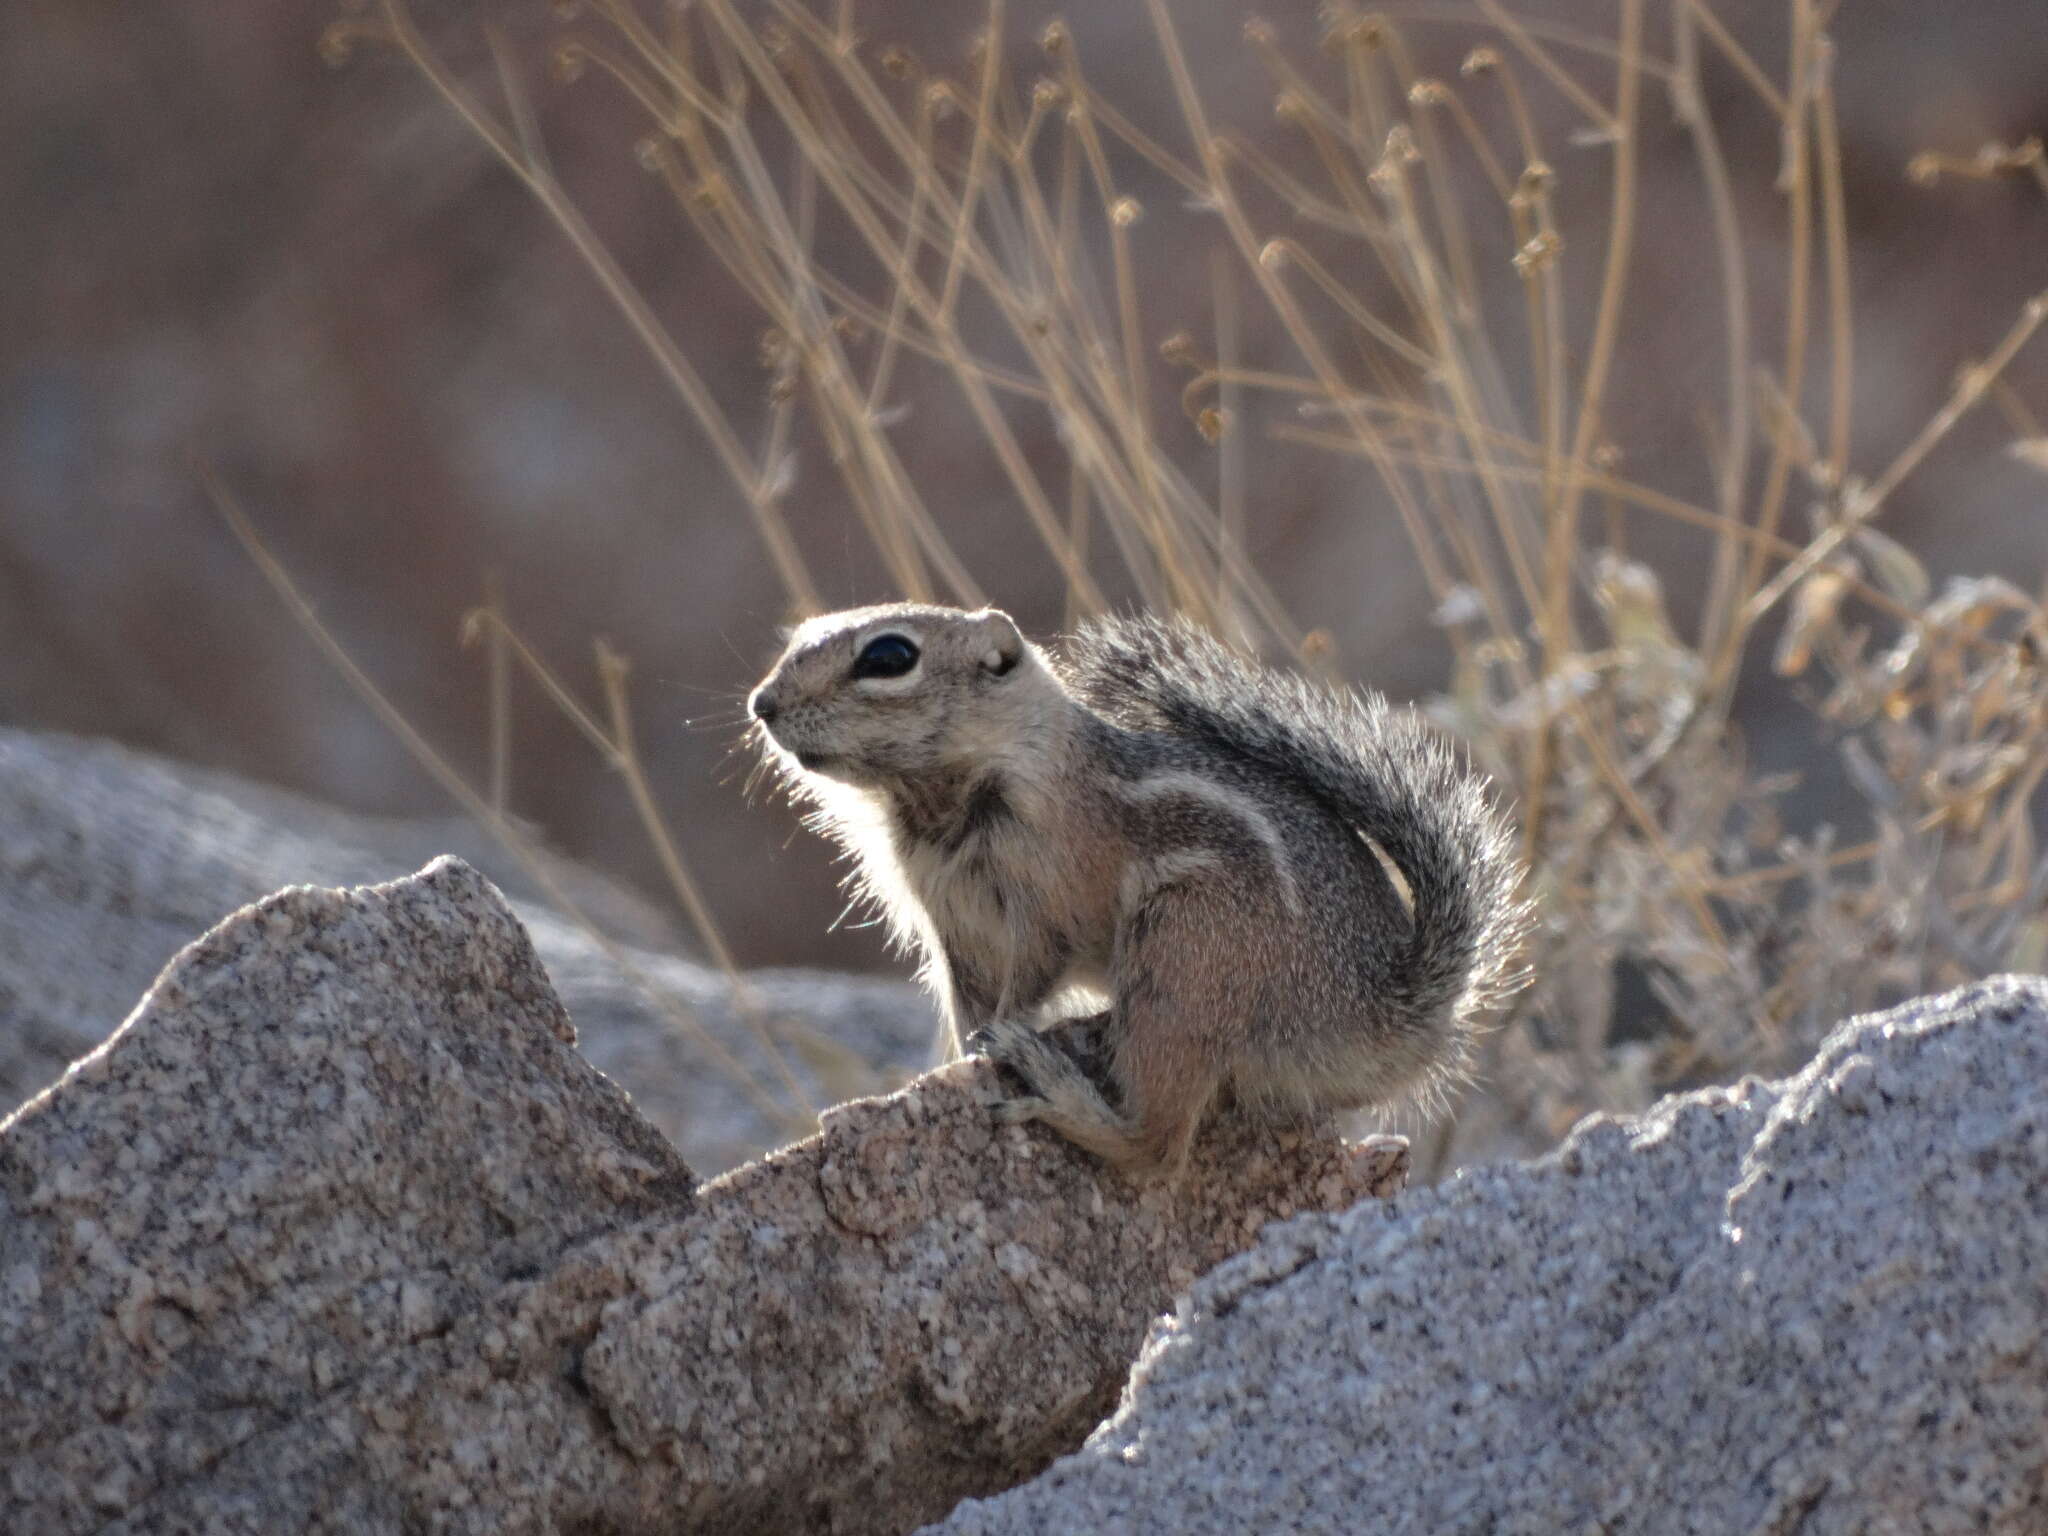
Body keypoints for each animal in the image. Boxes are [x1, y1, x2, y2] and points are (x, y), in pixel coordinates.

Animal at [745, 606, 1531, 1187]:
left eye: (888, 657)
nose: (762, 703)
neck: (938, 805)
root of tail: (1388, 1015)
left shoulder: (1045, 902)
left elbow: (1022, 985)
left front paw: (1001, 1042)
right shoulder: (952, 929)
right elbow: (964, 1008)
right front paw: (949, 1064)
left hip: (1184, 959)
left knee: (1155, 1146)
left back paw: (1057, 1090)